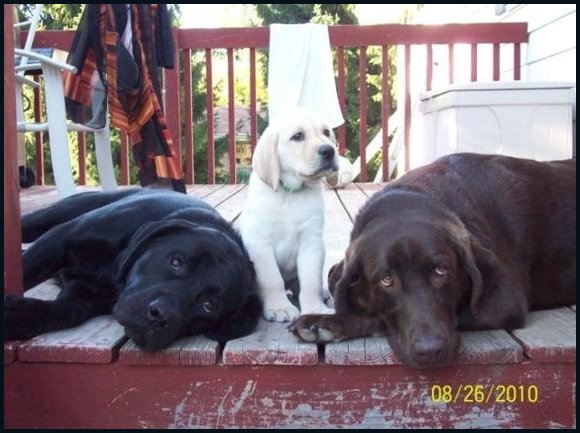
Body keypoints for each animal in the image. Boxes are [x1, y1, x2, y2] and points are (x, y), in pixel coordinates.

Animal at [4, 189, 260, 352]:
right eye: (175, 261)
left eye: (208, 305)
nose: (160, 316)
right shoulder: (63, 239)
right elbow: (28, 268)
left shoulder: (81, 294)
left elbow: (62, 312)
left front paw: (17, 315)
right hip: (52, 215)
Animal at [237, 106, 340, 318]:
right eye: (298, 136)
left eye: (326, 133)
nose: (329, 150)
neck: (291, 194)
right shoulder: (259, 244)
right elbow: (272, 279)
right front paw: (280, 307)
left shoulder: (311, 242)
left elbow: (311, 280)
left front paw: (314, 308)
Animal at [292, 154, 572, 366]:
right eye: (386, 280)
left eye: (440, 271)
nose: (430, 351)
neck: (409, 197)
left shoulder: (504, 300)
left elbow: (379, 317)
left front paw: (327, 323)